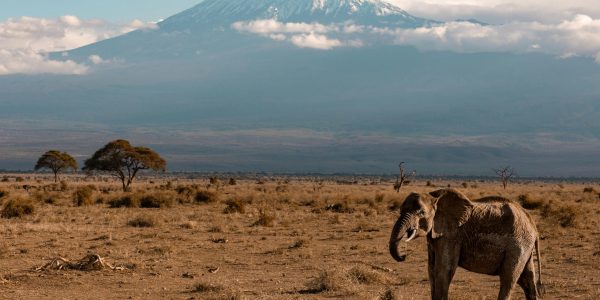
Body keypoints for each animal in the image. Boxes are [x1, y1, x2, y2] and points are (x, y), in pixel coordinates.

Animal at [390, 189, 544, 298]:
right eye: (401, 210)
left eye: (421, 213)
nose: (404, 256)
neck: (434, 197)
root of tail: (533, 226)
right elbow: (432, 270)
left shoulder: (452, 235)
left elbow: (444, 270)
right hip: (525, 247)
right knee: (528, 281)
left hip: (518, 245)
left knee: (508, 279)